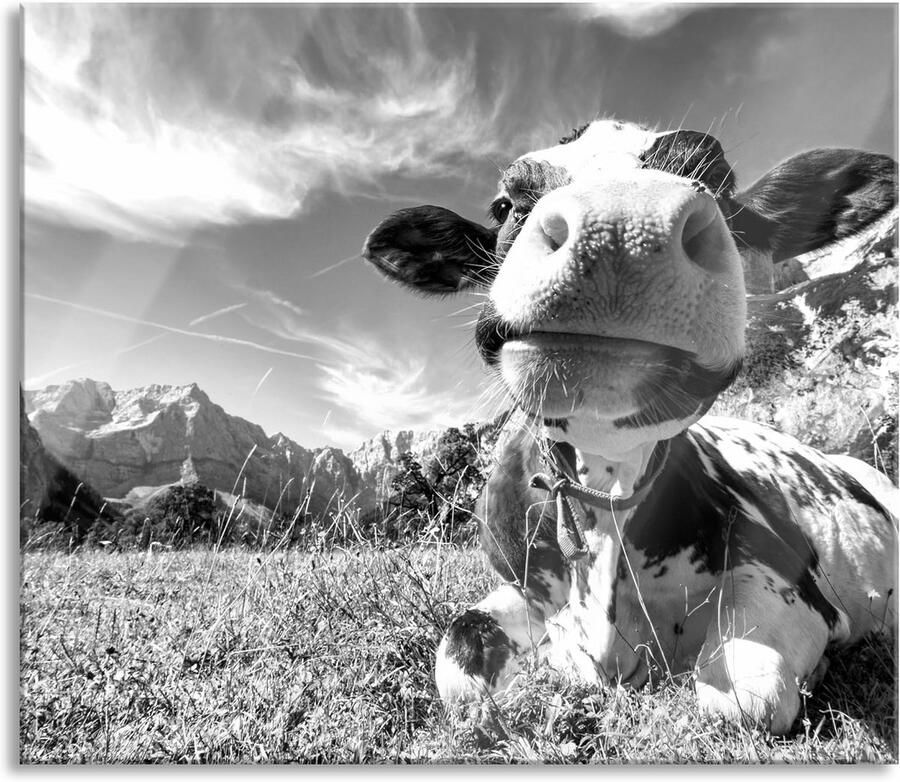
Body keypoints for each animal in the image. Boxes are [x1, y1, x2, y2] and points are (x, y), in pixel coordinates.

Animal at [361, 119, 898, 735]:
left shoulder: (790, 574)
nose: (621, 226)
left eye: (720, 184)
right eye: (504, 205)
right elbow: (461, 669)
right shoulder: (520, 586)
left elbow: (743, 699)